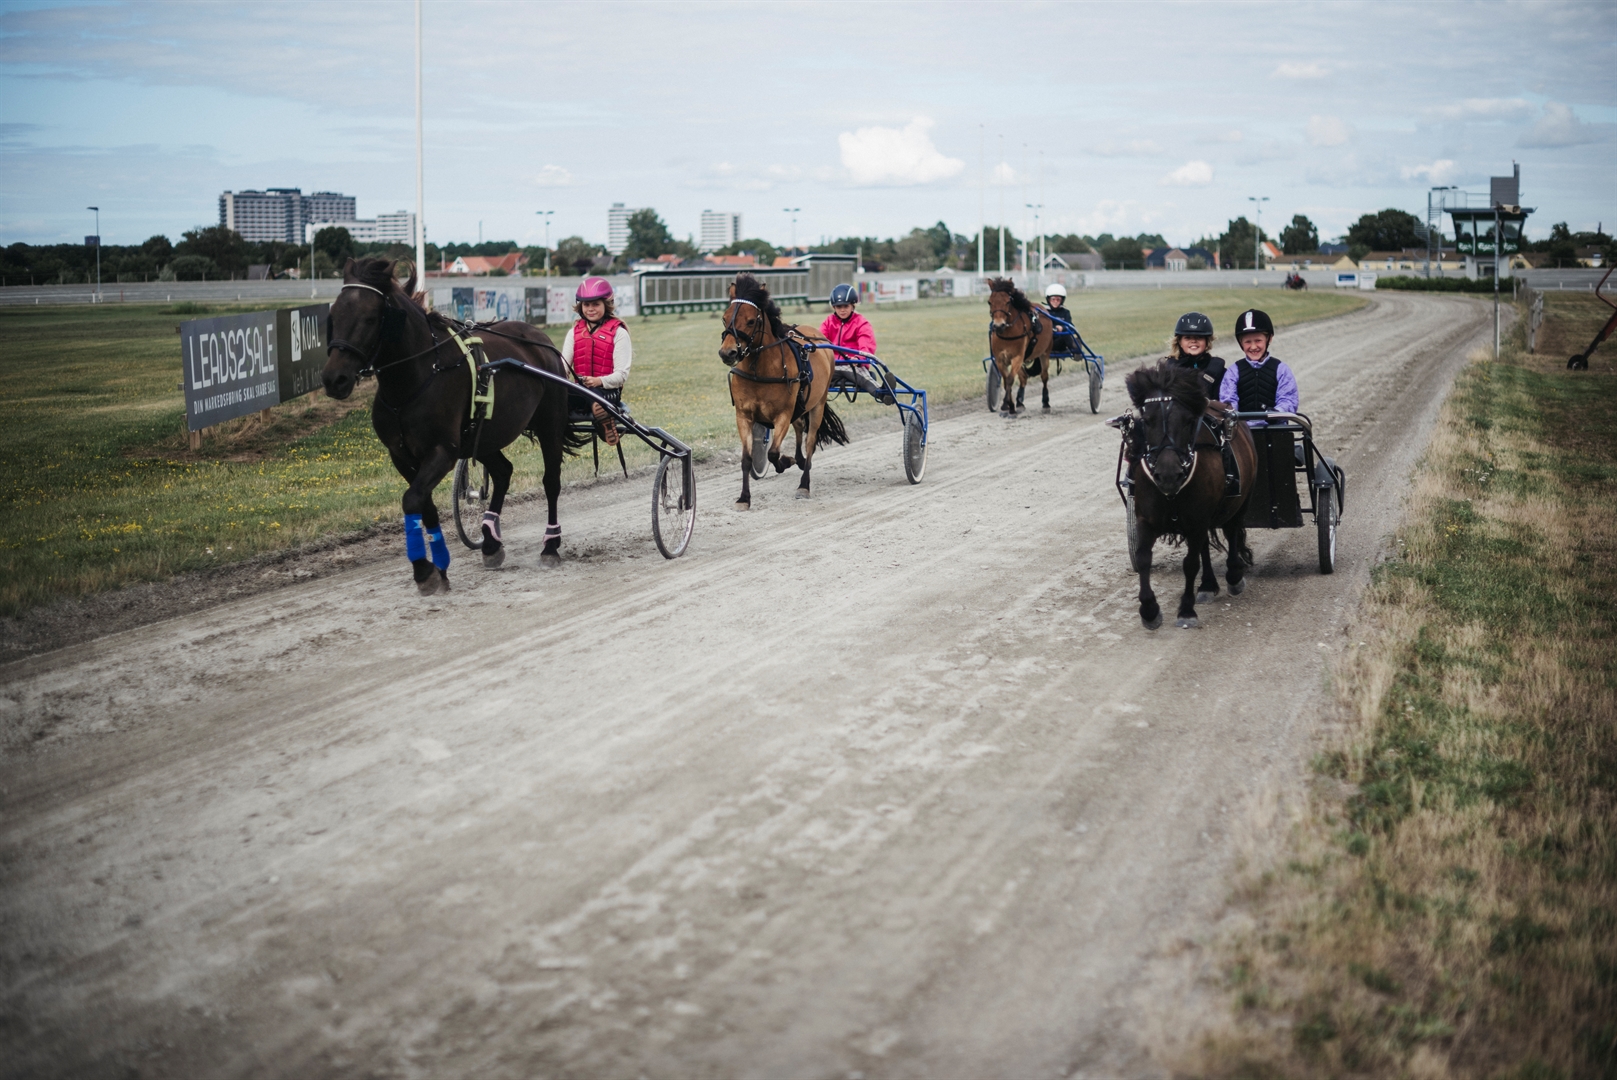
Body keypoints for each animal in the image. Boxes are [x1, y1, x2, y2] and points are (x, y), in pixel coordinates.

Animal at [717, 270, 847, 507]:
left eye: (751, 320)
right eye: (724, 317)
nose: (727, 353)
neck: (760, 371)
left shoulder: (783, 414)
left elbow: (774, 453)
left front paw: (786, 461)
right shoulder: (743, 415)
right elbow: (747, 459)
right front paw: (744, 497)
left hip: (818, 403)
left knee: (810, 442)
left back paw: (804, 483)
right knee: (799, 428)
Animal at [976, 276, 1054, 410]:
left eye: (1008, 302)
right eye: (989, 302)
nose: (998, 325)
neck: (1007, 334)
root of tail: (1043, 309)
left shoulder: (1017, 357)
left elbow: (1010, 380)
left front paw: (1006, 405)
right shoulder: (1000, 359)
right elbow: (1006, 380)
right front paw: (1009, 404)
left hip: (1045, 353)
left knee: (1044, 376)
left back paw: (1045, 402)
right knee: (1023, 377)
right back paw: (1020, 402)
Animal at [1125, 362, 1261, 633]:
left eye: (1188, 420)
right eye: (1147, 420)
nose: (1168, 475)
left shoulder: (1197, 520)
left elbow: (1190, 564)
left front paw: (1186, 611)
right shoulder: (1147, 519)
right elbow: (1144, 559)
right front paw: (1149, 610)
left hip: (1240, 501)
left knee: (1232, 532)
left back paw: (1233, 576)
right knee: (1205, 547)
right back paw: (1207, 585)